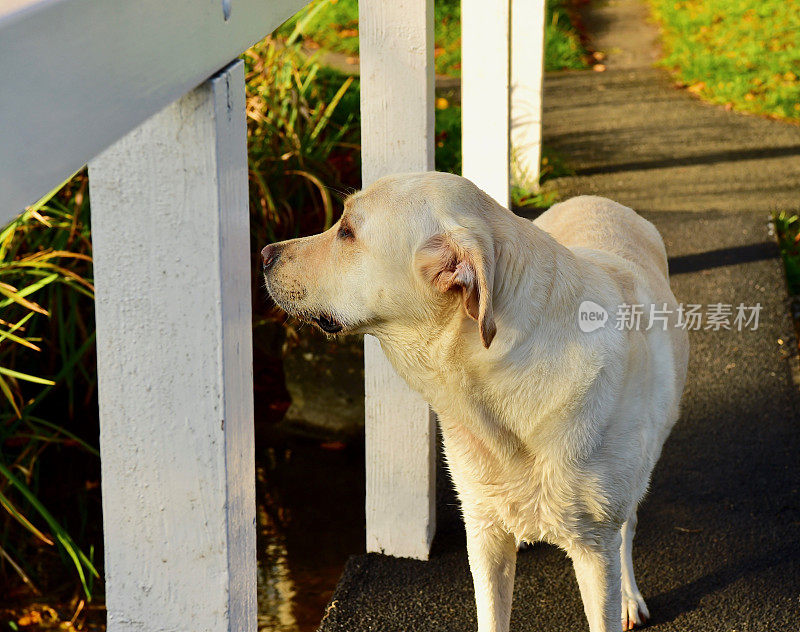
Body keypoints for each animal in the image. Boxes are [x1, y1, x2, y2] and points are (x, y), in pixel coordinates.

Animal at [260, 173, 688, 632]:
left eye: (347, 232)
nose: (264, 254)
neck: (503, 385)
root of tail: (597, 199)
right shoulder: (482, 531)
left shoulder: (594, 545)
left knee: (628, 527)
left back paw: (628, 595)